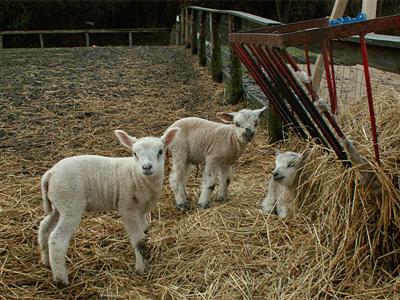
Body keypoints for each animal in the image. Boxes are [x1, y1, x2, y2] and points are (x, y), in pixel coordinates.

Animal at [38, 126, 179, 286]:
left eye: (160, 151)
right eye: (134, 153)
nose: (146, 167)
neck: (138, 177)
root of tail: (50, 174)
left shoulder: (141, 211)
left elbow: (144, 233)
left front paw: (146, 258)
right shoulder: (127, 209)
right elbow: (138, 240)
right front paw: (141, 269)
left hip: (58, 205)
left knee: (44, 227)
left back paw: (46, 261)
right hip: (70, 205)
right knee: (57, 240)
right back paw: (61, 280)